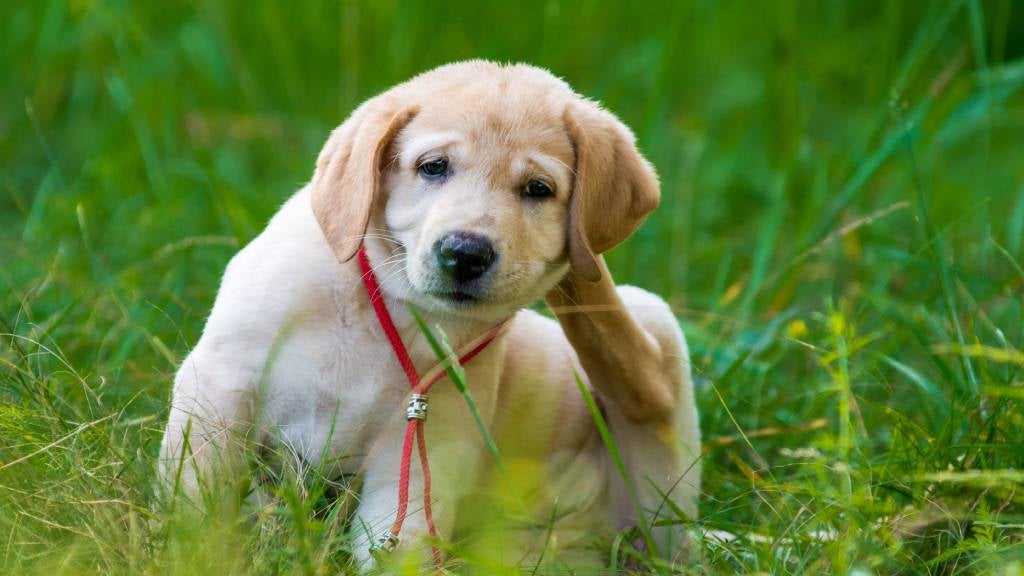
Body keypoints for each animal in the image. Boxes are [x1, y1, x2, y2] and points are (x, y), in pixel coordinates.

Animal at [159, 60, 700, 565]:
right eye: (434, 167)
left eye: (538, 189)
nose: (465, 253)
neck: (388, 307)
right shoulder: (222, 385)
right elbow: (199, 501)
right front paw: (195, 553)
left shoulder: (425, 448)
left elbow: (401, 545)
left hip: (652, 410)